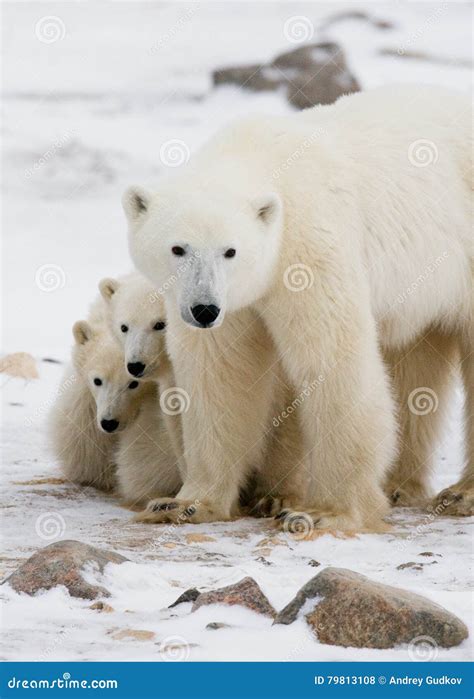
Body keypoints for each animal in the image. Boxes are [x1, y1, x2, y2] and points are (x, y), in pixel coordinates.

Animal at [124, 83, 472, 532]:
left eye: (230, 251)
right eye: (177, 248)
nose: (204, 310)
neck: (263, 162)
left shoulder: (307, 247)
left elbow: (331, 360)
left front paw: (324, 511)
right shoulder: (233, 303)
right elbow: (219, 374)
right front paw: (185, 503)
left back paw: (461, 493)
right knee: (414, 361)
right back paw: (399, 486)